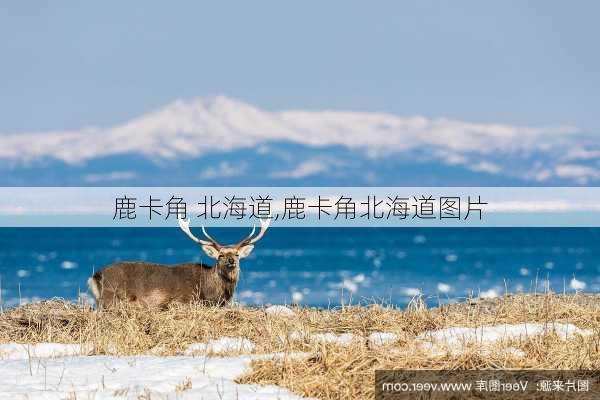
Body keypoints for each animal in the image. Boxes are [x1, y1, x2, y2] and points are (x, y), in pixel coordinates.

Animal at [86, 217, 270, 308]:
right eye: (220, 255)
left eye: (238, 254)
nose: (231, 260)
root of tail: (95, 276)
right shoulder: (185, 301)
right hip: (112, 297)